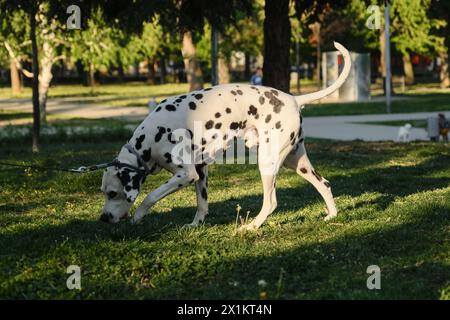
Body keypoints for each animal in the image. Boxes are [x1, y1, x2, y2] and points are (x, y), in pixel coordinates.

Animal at [99, 42, 352, 230]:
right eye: (104, 193)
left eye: (113, 193)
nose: (103, 218)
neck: (150, 140)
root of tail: (293, 99)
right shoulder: (200, 172)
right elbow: (202, 204)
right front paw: (196, 225)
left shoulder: (185, 174)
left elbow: (151, 196)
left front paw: (139, 215)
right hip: (295, 162)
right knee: (324, 184)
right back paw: (332, 214)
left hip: (267, 162)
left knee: (271, 202)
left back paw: (251, 226)